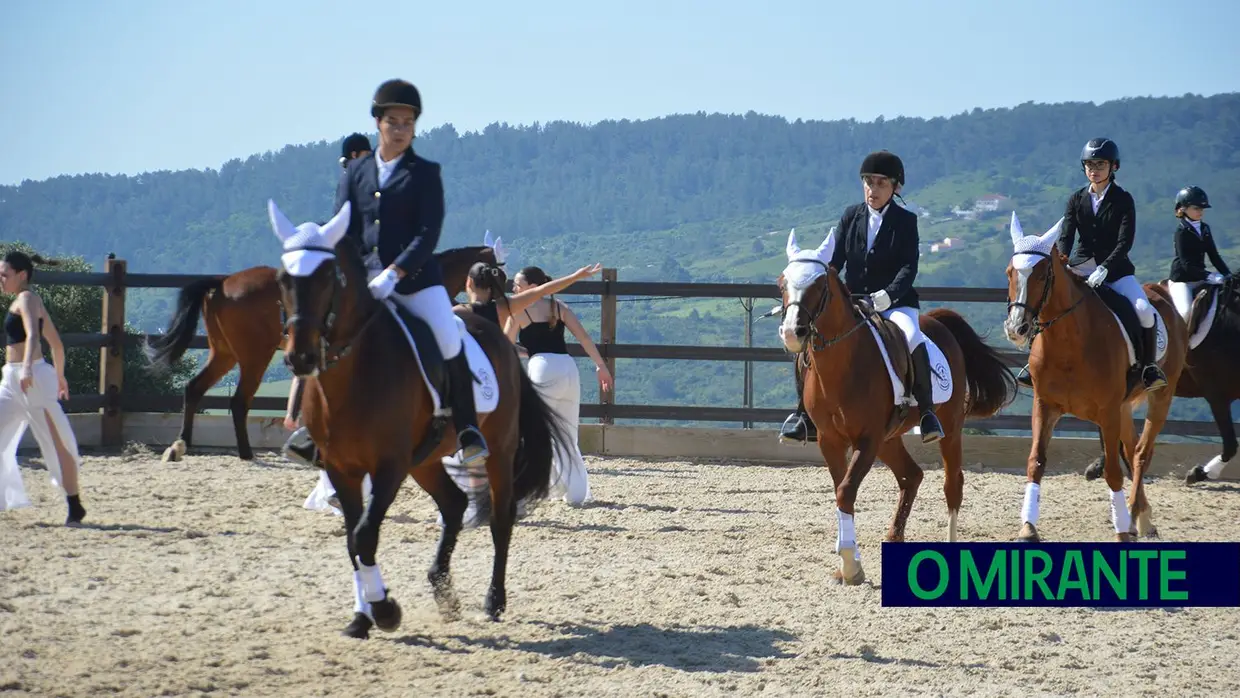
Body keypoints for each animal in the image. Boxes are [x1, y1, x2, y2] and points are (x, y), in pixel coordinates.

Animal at [139, 239, 498, 463]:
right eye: (498, 272)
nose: (497, 304)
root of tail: (223, 282)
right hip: (255, 356)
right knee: (239, 400)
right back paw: (244, 453)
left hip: (225, 353)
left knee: (195, 388)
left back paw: (180, 446)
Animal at [264, 200, 567, 639]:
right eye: (282, 278)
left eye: (327, 276)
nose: (299, 357)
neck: (354, 371)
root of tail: (498, 339)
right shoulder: (342, 467)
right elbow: (354, 541)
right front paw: (362, 616)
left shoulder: (389, 466)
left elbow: (366, 535)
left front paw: (385, 610)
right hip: (424, 460)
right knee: (455, 505)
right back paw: (443, 592)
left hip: (497, 448)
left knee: (500, 517)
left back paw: (493, 600)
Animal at [773, 228, 1016, 585]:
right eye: (781, 283)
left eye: (819, 286)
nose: (793, 333)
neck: (841, 366)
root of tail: (938, 323)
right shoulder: (831, 440)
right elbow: (840, 491)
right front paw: (848, 564)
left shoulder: (867, 439)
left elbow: (846, 491)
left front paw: (851, 565)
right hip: (889, 439)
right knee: (911, 476)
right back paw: (894, 537)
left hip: (948, 428)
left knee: (952, 485)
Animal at [996, 210, 1190, 543]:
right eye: (1010, 272)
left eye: (1041, 275)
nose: (1016, 329)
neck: (1068, 343)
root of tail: (1161, 294)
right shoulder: (1045, 405)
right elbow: (1036, 462)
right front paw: (1028, 527)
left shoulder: (1107, 411)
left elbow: (1112, 470)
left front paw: (1121, 530)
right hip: (1124, 406)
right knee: (1132, 448)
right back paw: (1141, 516)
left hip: (1160, 396)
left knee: (1141, 453)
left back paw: (1134, 516)